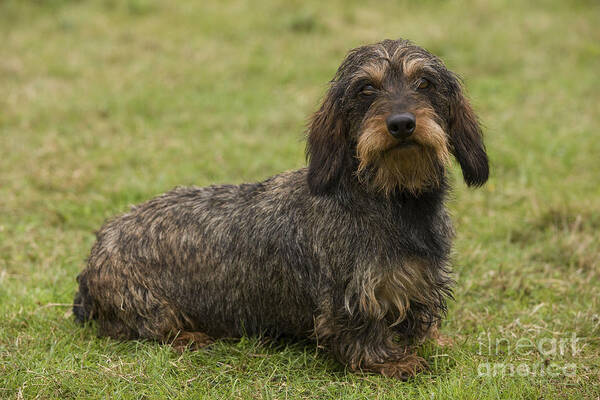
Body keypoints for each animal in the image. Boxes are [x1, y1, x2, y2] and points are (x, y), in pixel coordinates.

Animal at [74, 38, 488, 378]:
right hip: (149, 308)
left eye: (425, 83)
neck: (392, 199)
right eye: (366, 88)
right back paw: (190, 336)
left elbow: (418, 316)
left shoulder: (419, 280)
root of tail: (97, 249)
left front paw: (433, 340)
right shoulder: (351, 294)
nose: (401, 123)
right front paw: (392, 362)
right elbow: (362, 332)